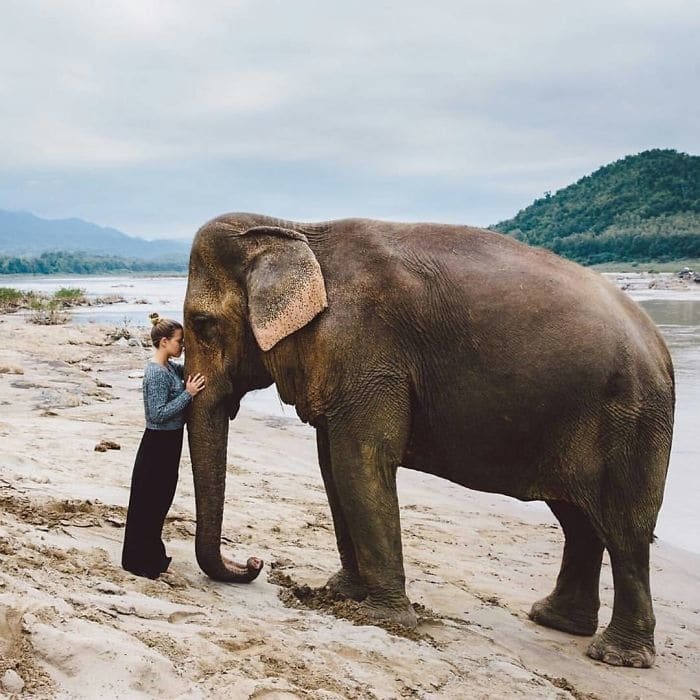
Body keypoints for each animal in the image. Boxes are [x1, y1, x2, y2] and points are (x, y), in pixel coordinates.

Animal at [183, 212, 676, 668]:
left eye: (203, 324)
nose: (254, 563)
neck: (296, 228)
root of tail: (660, 348)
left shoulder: (368, 349)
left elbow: (359, 462)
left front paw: (382, 619)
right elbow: (332, 467)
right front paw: (342, 593)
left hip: (632, 422)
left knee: (624, 530)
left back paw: (616, 656)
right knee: (579, 521)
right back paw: (556, 621)